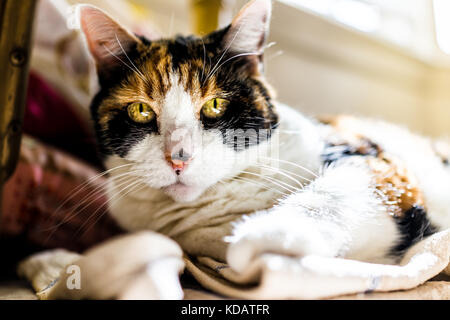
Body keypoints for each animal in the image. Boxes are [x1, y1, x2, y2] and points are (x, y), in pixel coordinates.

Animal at [77, 0, 450, 276]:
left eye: (215, 105)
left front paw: (261, 234)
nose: (179, 157)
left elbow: (328, 195)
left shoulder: (374, 161)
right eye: (140, 110)